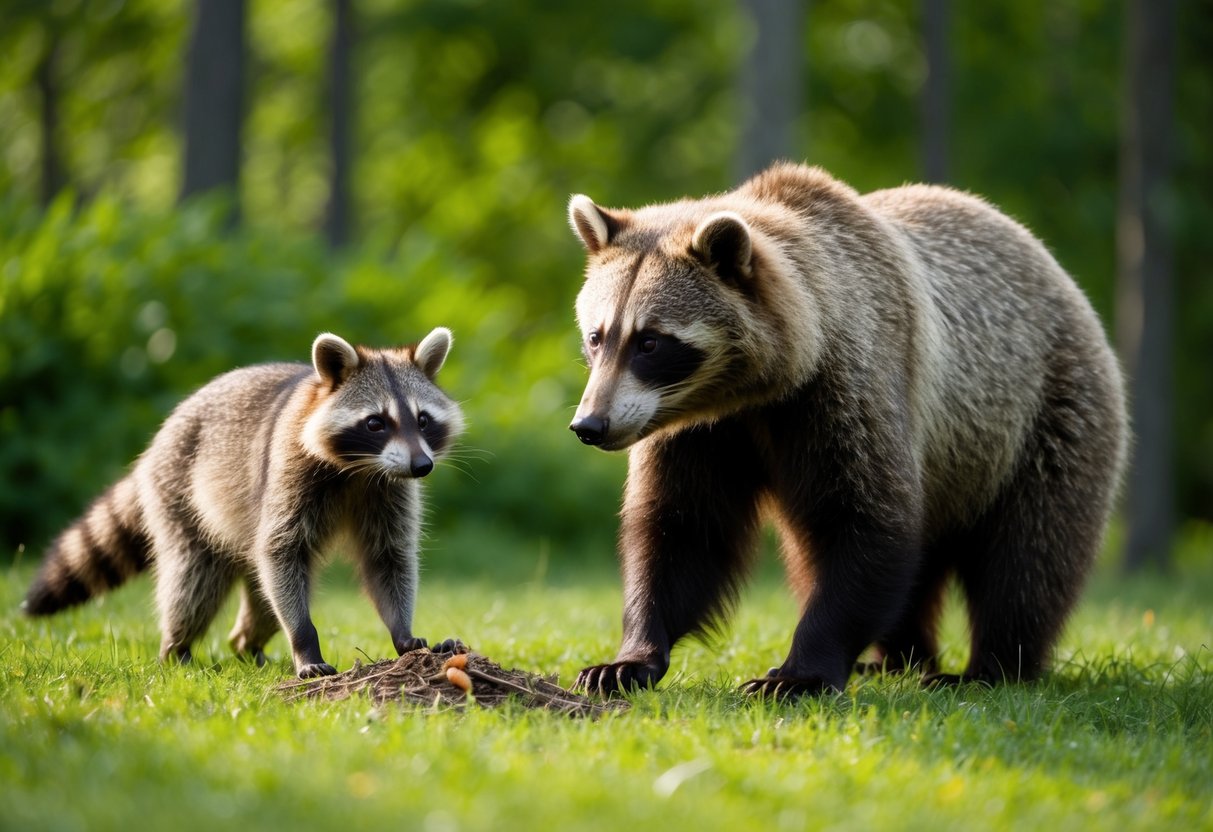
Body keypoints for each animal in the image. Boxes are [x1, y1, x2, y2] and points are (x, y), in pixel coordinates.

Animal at [24, 328, 465, 678]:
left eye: (422, 419)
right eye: (376, 423)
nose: (422, 466)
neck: (360, 469)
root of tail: (155, 446)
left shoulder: (388, 492)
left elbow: (388, 557)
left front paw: (402, 631)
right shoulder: (289, 473)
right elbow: (281, 551)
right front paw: (305, 642)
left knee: (263, 600)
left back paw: (246, 645)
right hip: (180, 491)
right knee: (194, 582)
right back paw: (176, 647)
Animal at [565, 162, 1127, 698]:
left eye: (651, 341)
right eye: (597, 335)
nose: (590, 424)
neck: (755, 390)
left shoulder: (846, 391)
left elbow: (863, 524)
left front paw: (795, 675)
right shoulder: (701, 433)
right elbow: (681, 531)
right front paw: (623, 662)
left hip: (1036, 416)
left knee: (1029, 553)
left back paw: (990, 666)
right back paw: (896, 658)